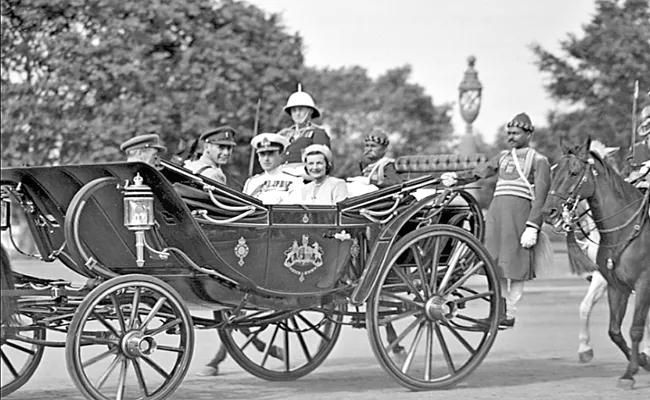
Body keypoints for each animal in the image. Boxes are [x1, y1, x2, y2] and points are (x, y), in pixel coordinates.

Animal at [540, 138, 648, 388]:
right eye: (554, 171)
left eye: (574, 172)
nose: (548, 212)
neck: (626, 229)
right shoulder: (614, 285)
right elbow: (613, 330)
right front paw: (639, 362)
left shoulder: (643, 283)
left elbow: (636, 328)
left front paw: (630, 373)